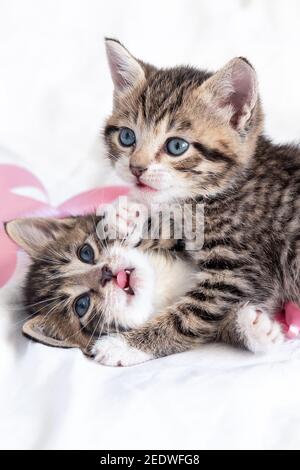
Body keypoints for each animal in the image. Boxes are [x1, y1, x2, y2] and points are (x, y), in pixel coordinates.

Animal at [91, 38, 300, 366]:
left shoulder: (240, 270)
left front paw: (126, 345)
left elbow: (191, 315)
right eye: (127, 137)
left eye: (177, 146)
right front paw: (124, 220)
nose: (136, 168)